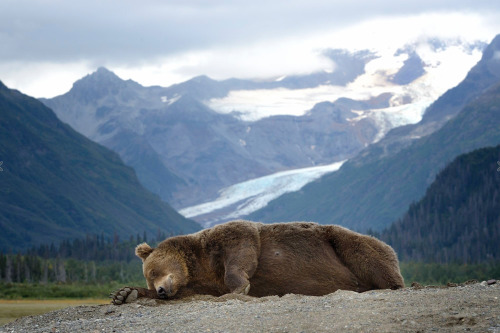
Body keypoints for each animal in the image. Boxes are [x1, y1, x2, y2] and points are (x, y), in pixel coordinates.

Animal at [111, 218, 404, 304]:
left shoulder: (227, 239)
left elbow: (241, 250)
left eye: (153, 271)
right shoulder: (202, 285)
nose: (161, 290)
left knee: (364, 251)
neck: (195, 265)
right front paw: (124, 293)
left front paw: (240, 287)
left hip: (341, 241)